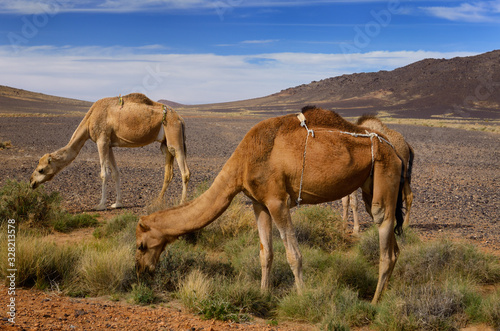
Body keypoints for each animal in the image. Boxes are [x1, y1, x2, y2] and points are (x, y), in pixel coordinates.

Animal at [29, 92, 189, 210]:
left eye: (41, 169)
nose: (31, 182)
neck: (89, 120)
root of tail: (180, 119)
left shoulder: (102, 140)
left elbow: (104, 173)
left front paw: (100, 205)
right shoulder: (110, 144)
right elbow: (115, 172)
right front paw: (117, 203)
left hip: (174, 135)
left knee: (185, 172)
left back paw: (182, 203)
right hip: (165, 143)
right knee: (168, 173)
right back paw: (157, 201)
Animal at [135, 107, 404, 306]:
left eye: (141, 245)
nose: (139, 270)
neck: (243, 162)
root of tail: (396, 149)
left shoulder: (277, 201)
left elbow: (294, 255)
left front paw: (303, 298)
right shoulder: (259, 203)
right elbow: (266, 253)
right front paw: (264, 294)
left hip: (385, 172)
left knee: (384, 232)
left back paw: (375, 303)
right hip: (370, 186)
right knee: (394, 245)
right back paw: (383, 296)